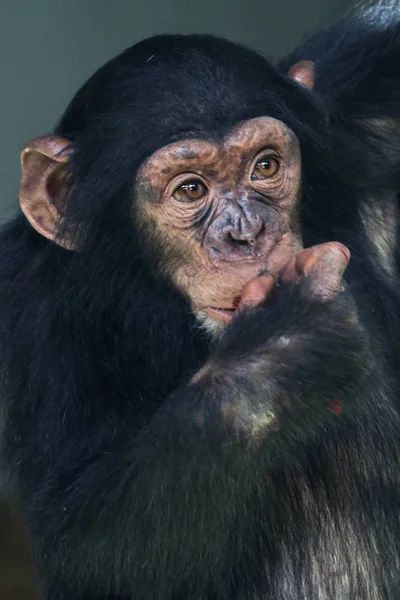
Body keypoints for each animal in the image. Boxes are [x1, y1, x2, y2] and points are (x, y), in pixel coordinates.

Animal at [0, 0, 400, 596]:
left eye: (265, 166)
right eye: (191, 189)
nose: (247, 233)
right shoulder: (28, 312)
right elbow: (88, 545)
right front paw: (283, 351)